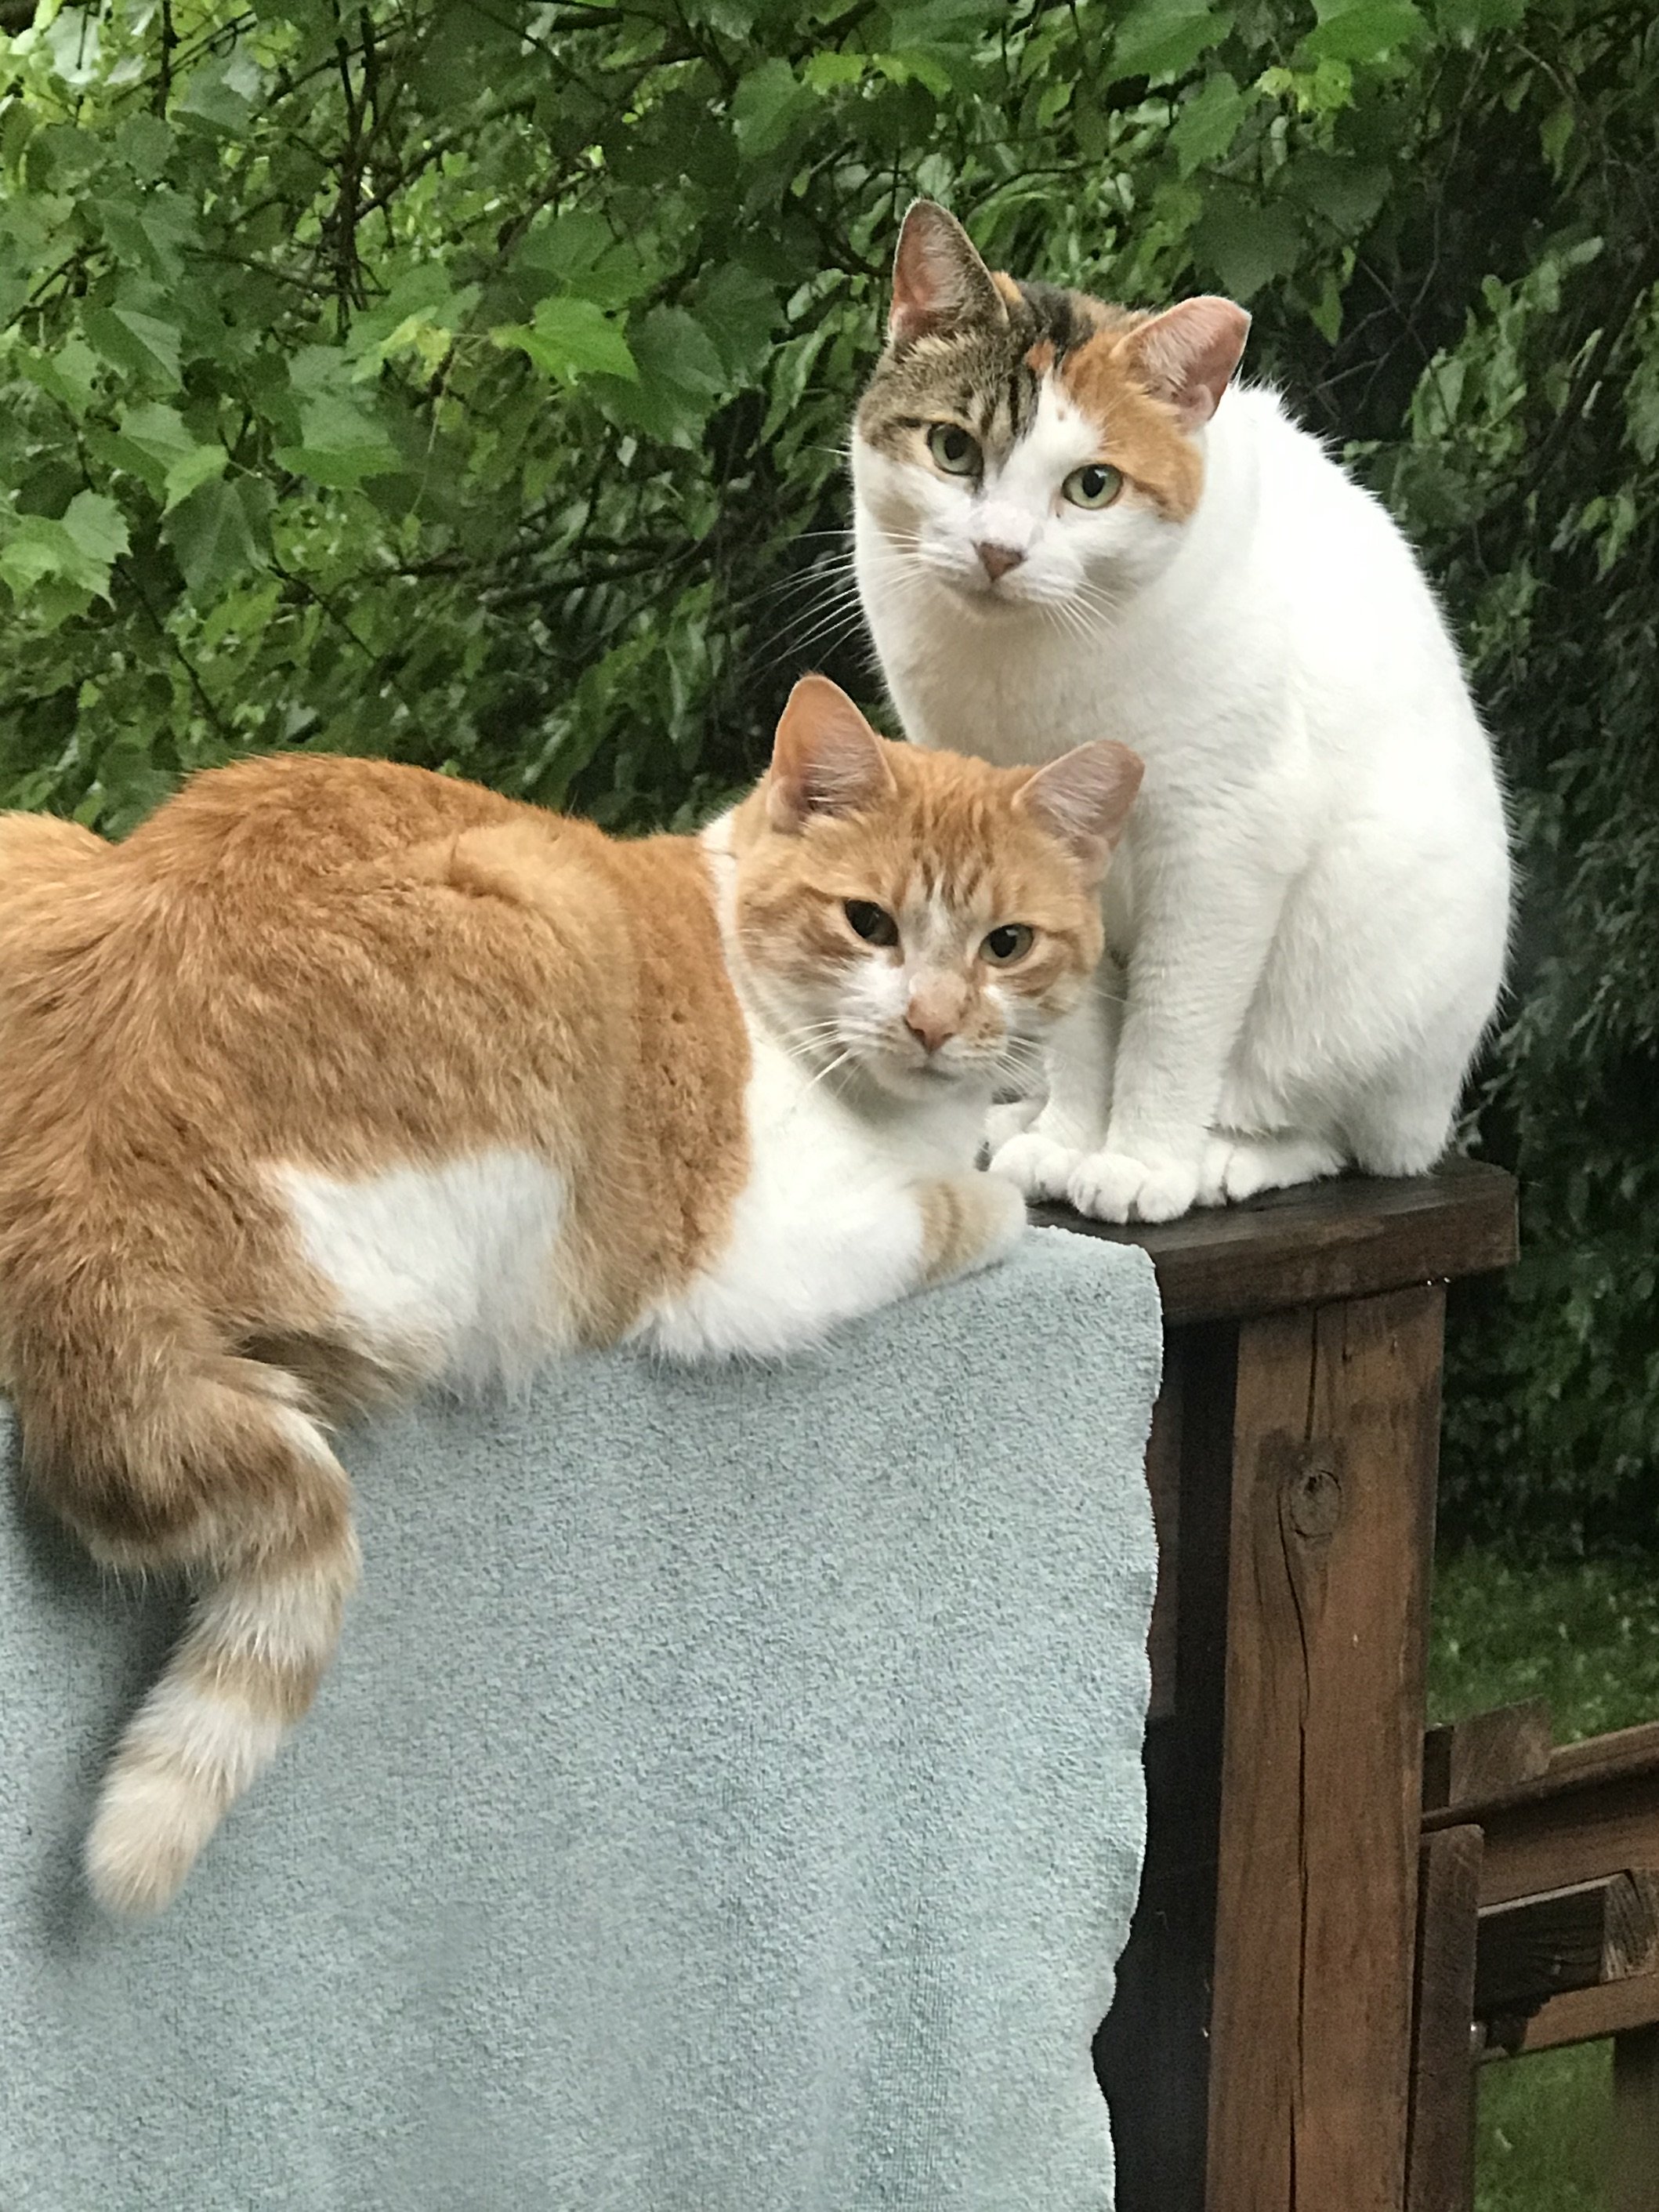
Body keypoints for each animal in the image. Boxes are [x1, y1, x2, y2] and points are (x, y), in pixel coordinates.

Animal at [0, 676, 1141, 1920]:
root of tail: (86, 1165)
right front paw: (995, 1189)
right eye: (867, 922)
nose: (933, 1023)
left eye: (1006, 944)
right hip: (541, 926)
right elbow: (974, 1208)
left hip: (41, 841)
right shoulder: (765, 1259)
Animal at [849, 203, 1512, 1230]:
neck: (1030, 665)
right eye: (952, 449)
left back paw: (1223, 1155)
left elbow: (1171, 1024)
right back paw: (1019, 1116)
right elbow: (1080, 1026)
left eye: (1091, 486)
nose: (999, 552)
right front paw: (1067, 1138)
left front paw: (1138, 1160)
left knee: (1338, 1134)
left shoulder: (1223, 842)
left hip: (1348, 996)